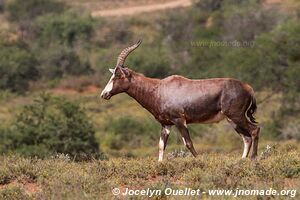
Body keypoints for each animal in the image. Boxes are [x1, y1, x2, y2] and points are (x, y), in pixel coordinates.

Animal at [101, 40, 260, 161]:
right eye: (112, 75)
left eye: (118, 76)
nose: (104, 94)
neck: (159, 88)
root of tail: (248, 87)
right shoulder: (166, 124)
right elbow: (161, 145)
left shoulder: (179, 120)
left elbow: (188, 143)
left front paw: (199, 160)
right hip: (232, 119)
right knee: (246, 137)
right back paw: (242, 160)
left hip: (236, 116)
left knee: (254, 130)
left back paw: (253, 158)